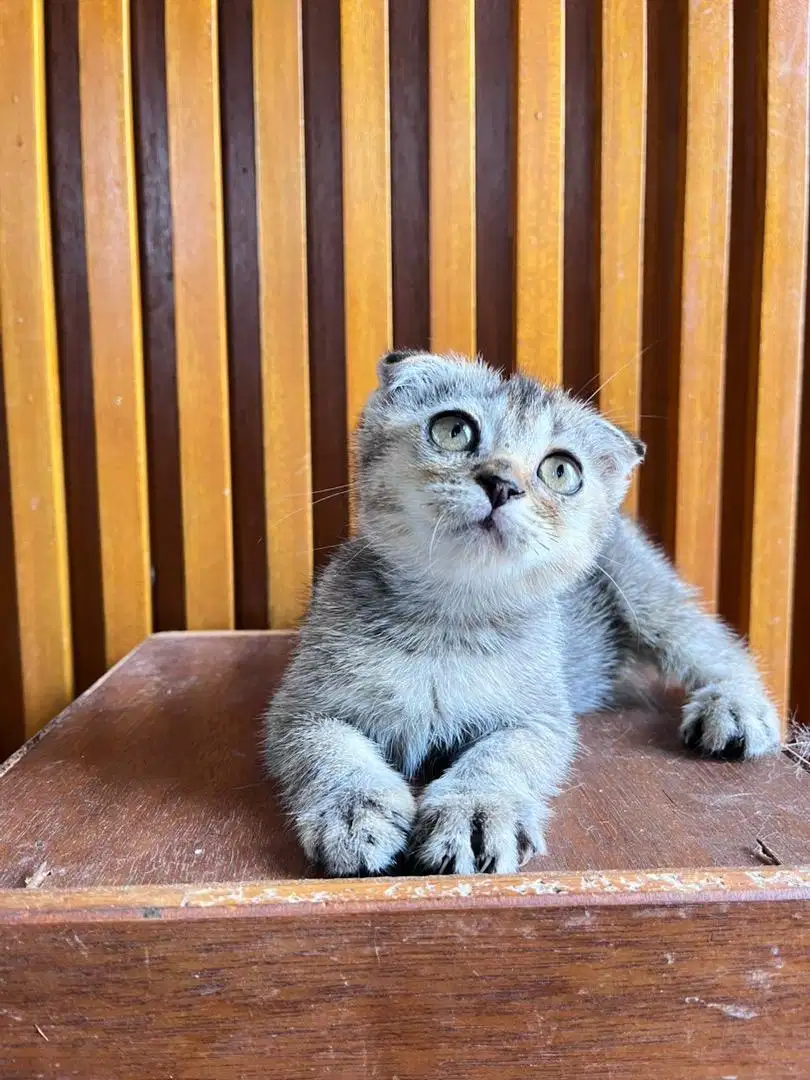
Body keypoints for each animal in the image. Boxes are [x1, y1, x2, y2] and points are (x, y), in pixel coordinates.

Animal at [264, 352, 781, 876]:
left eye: (560, 470)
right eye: (453, 430)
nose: (502, 484)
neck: (449, 622)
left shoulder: (541, 719)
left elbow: (503, 756)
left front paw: (475, 810)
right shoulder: (301, 708)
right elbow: (332, 752)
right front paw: (353, 811)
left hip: (648, 597)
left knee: (717, 646)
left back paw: (735, 708)